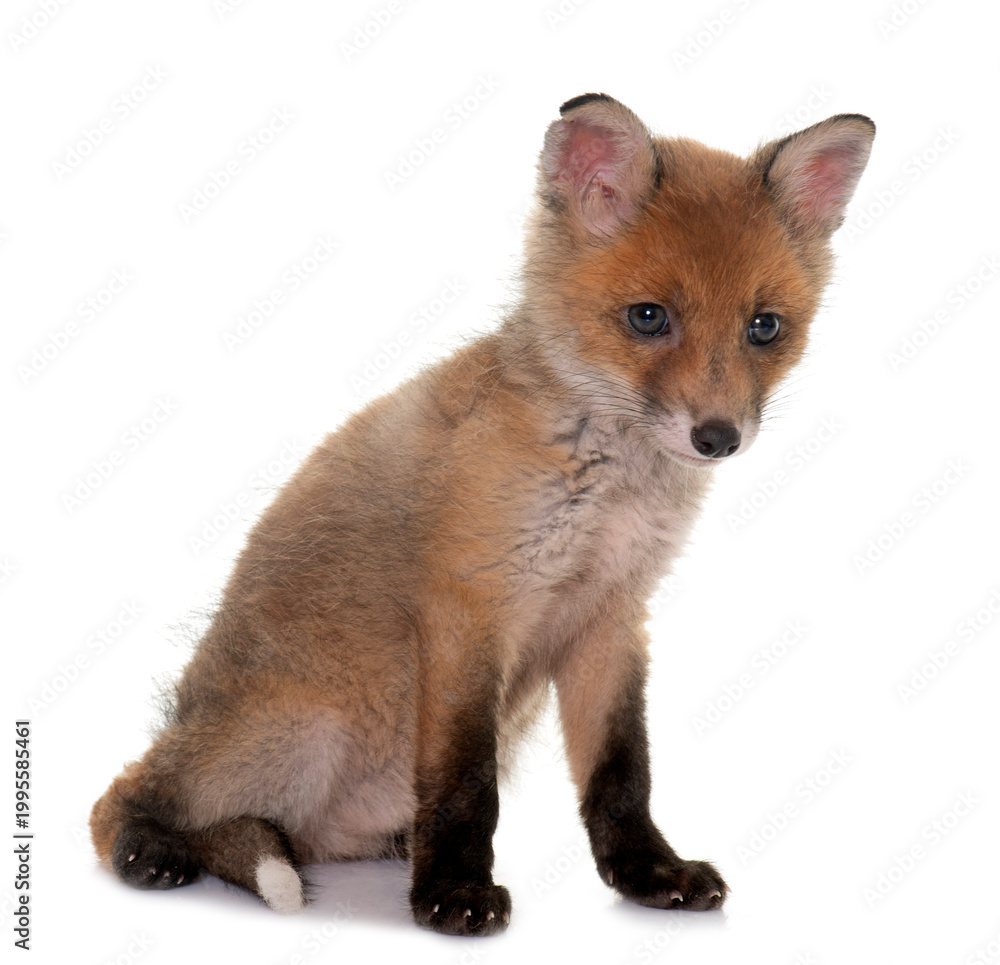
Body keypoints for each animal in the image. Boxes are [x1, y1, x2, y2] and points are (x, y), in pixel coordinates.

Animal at [90, 93, 874, 936]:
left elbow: (621, 772)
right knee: (126, 794)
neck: (607, 495)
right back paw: (149, 849)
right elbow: (467, 780)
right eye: (648, 317)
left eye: (765, 327)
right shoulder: (472, 605)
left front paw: (646, 873)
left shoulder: (611, 617)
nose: (719, 436)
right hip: (299, 729)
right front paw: (454, 892)